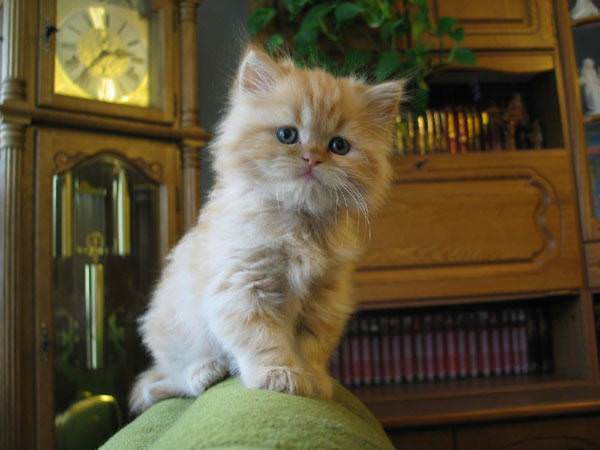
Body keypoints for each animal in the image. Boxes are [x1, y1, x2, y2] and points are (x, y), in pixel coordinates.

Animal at [130, 46, 404, 414]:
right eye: (288, 135)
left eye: (339, 146)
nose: (311, 158)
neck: (298, 223)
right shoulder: (242, 285)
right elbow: (264, 339)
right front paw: (279, 374)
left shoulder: (324, 300)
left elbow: (311, 347)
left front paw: (313, 379)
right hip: (173, 329)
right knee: (169, 378)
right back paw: (206, 371)